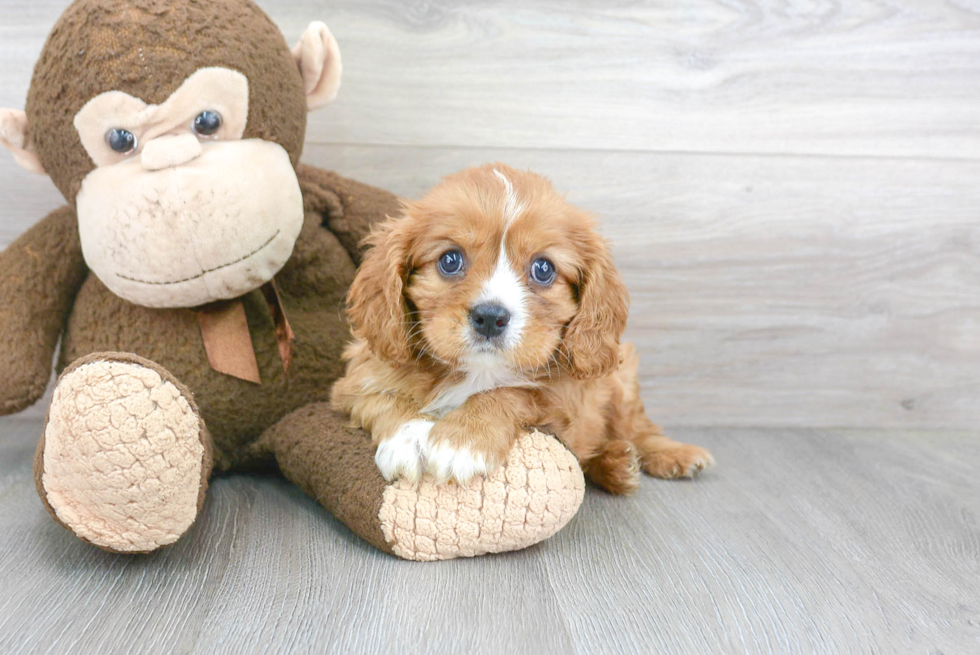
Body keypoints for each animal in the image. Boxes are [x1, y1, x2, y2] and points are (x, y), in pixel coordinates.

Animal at [330, 164, 712, 492]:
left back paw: (663, 455)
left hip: (621, 379)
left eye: (543, 268)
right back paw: (616, 463)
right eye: (450, 260)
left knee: (637, 428)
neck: (476, 372)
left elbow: (511, 392)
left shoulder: (565, 399)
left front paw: (463, 440)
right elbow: (382, 398)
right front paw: (408, 439)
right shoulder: (354, 381)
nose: (489, 317)